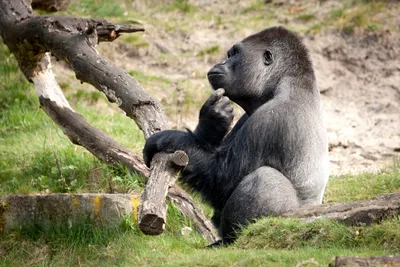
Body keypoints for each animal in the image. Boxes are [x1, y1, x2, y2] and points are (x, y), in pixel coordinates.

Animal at [143, 26, 328, 246]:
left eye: (235, 54)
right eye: (229, 54)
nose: (222, 62)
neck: (285, 82)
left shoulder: (273, 117)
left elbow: (221, 178)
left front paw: (168, 139)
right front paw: (211, 124)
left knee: (265, 179)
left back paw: (232, 240)